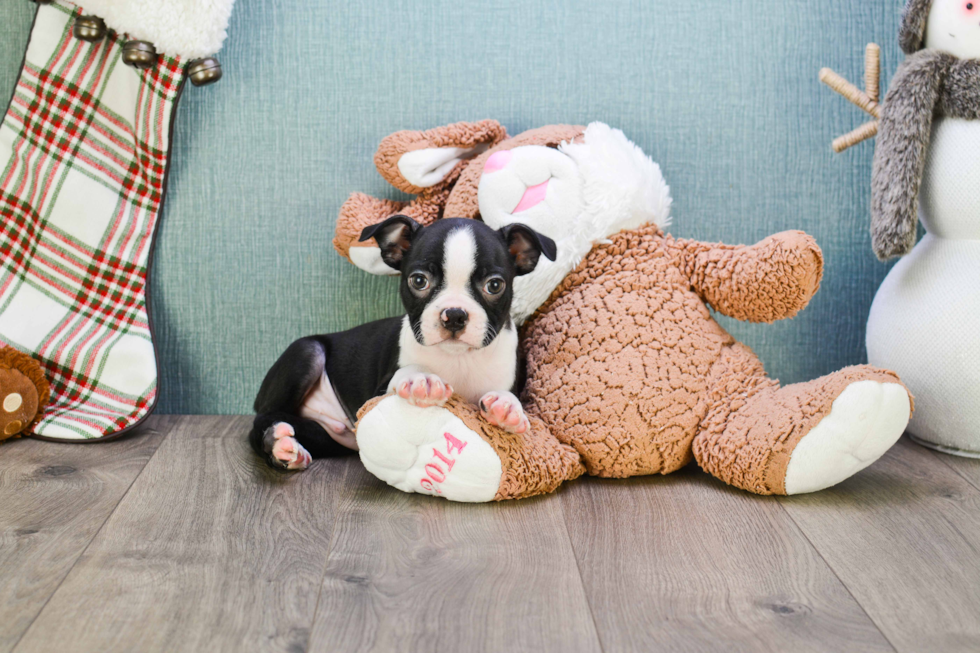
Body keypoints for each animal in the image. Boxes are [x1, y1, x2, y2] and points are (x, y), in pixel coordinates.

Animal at [249, 216, 556, 472]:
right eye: (419, 280)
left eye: (494, 285)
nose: (455, 315)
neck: (457, 357)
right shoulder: (375, 394)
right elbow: (406, 373)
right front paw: (424, 379)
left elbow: (510, 397)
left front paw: (507, 405)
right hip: (305, 353)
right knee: (262, 421)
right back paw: (280, 446)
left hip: (330, 437)